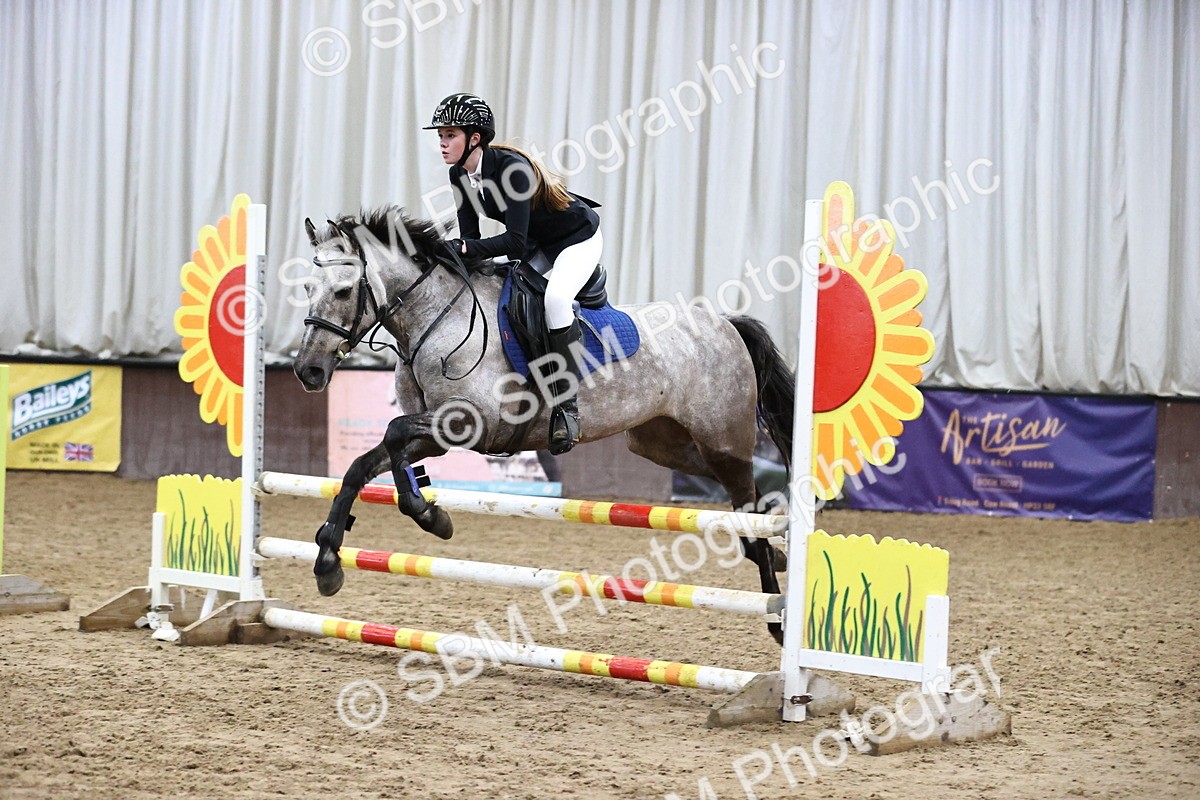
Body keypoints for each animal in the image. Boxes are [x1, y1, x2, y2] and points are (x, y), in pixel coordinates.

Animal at [296, 206, 796, 642]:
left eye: (343, 291)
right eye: (306, 287)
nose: (308, 371)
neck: (437, 319)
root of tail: (725, 324)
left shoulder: (469, 422)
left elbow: (394, 434)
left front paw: (428, 515)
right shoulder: (438, 433)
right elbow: (366, 463)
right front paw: (330, 559)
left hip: (721, 438)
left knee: (747, 500)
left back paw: (777, 616)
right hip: (664, 444)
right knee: (746, 500)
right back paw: (776, 551)